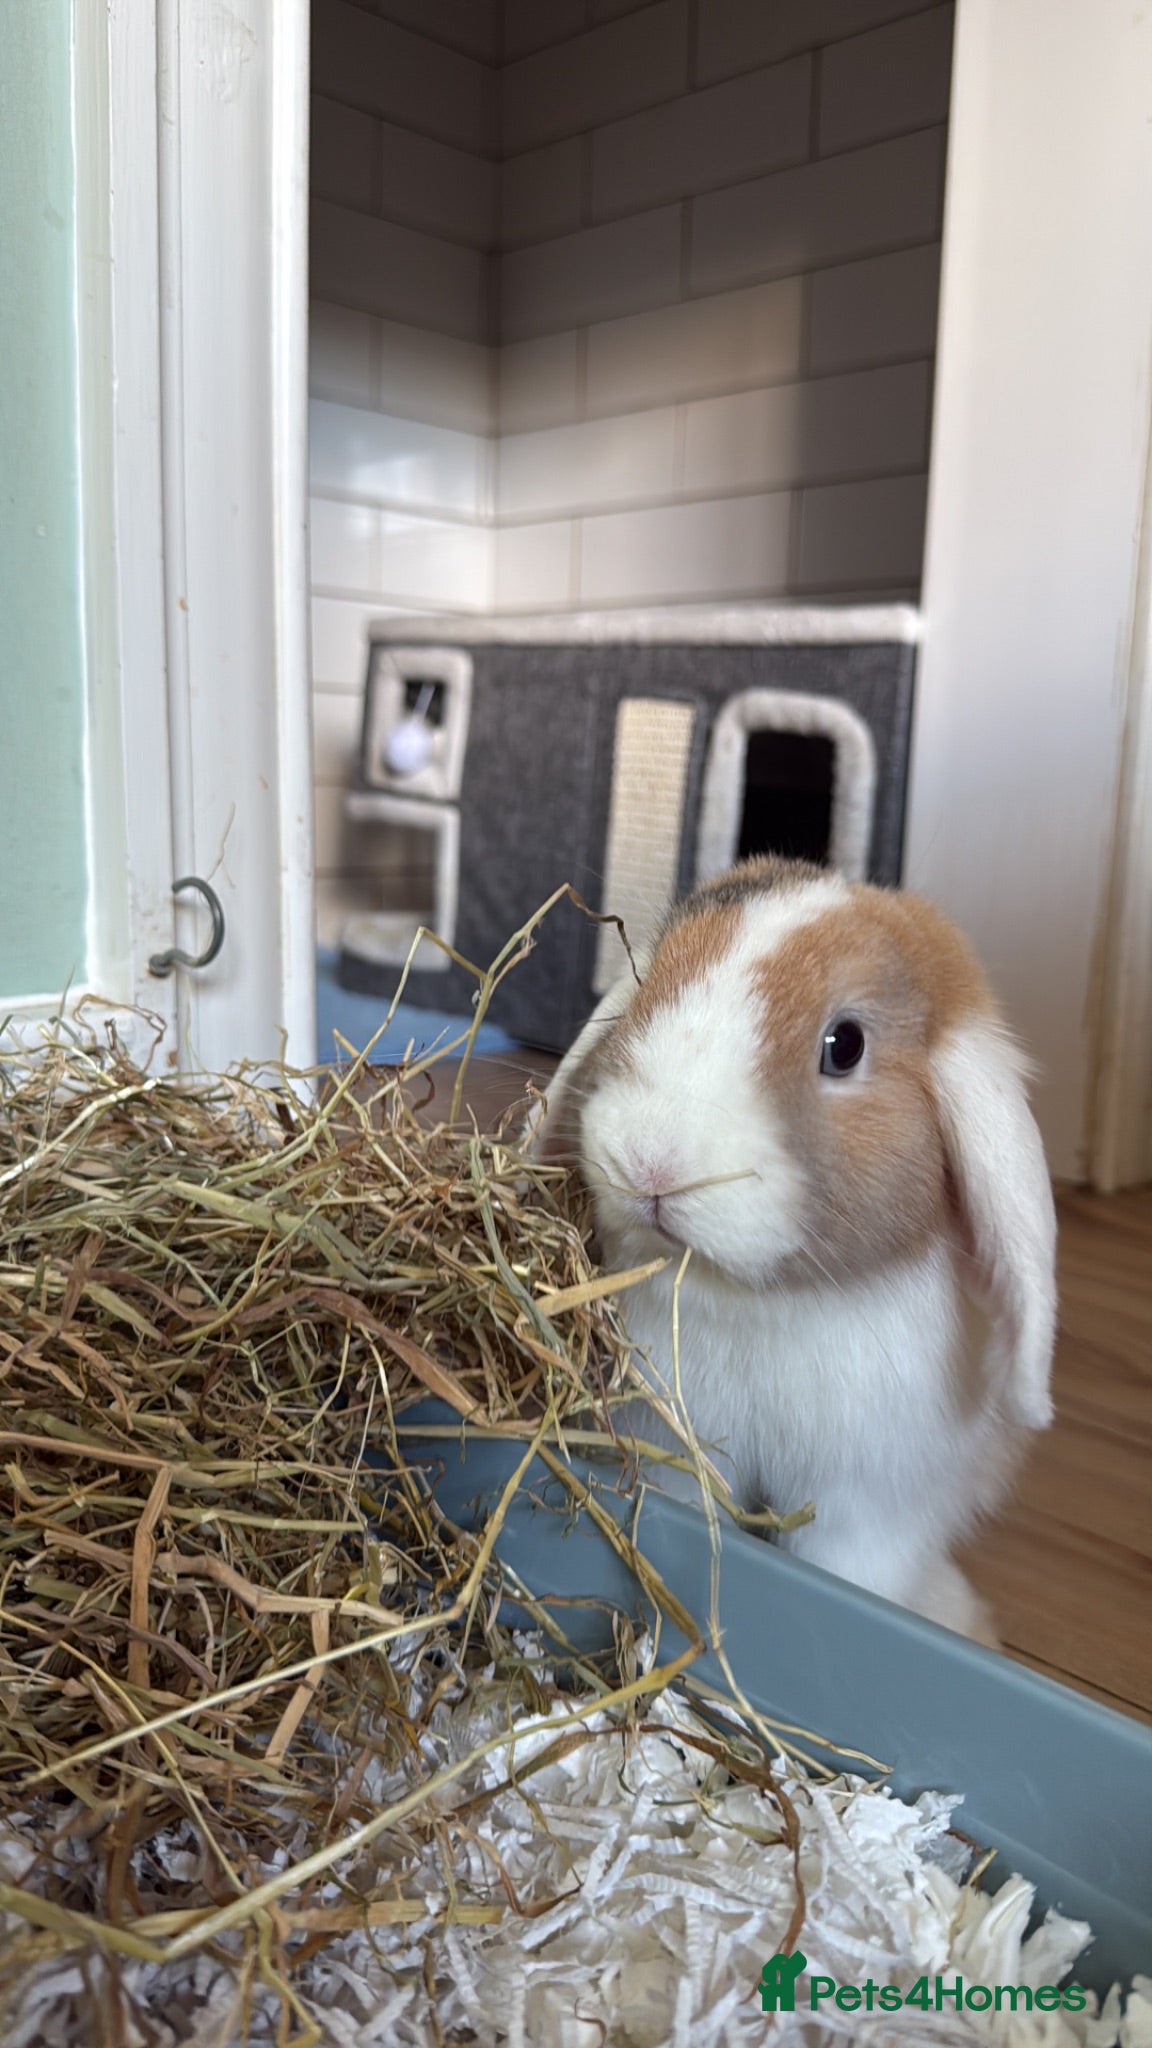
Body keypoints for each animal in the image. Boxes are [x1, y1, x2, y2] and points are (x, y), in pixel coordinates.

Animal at [530, 855, 1057, 1643]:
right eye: (649, 983)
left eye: (846, 1045)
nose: (651, 1159)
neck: (755, 1302)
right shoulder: (675, 1451)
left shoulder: (867, 1506)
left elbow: (846, 1568)